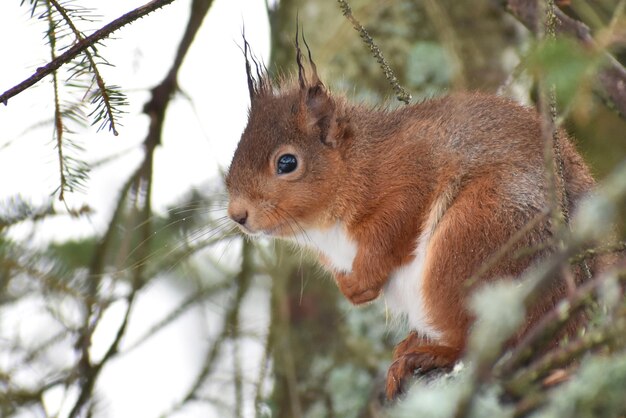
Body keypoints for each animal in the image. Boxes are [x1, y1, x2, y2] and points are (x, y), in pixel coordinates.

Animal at [223, 38, 588, 398]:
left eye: (287, 162)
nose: (237, 215)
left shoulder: (411, 174)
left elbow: (395, 225)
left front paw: (362, 281)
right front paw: (350, 288)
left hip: (475, 240)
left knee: (480, 341)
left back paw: (432, 353)